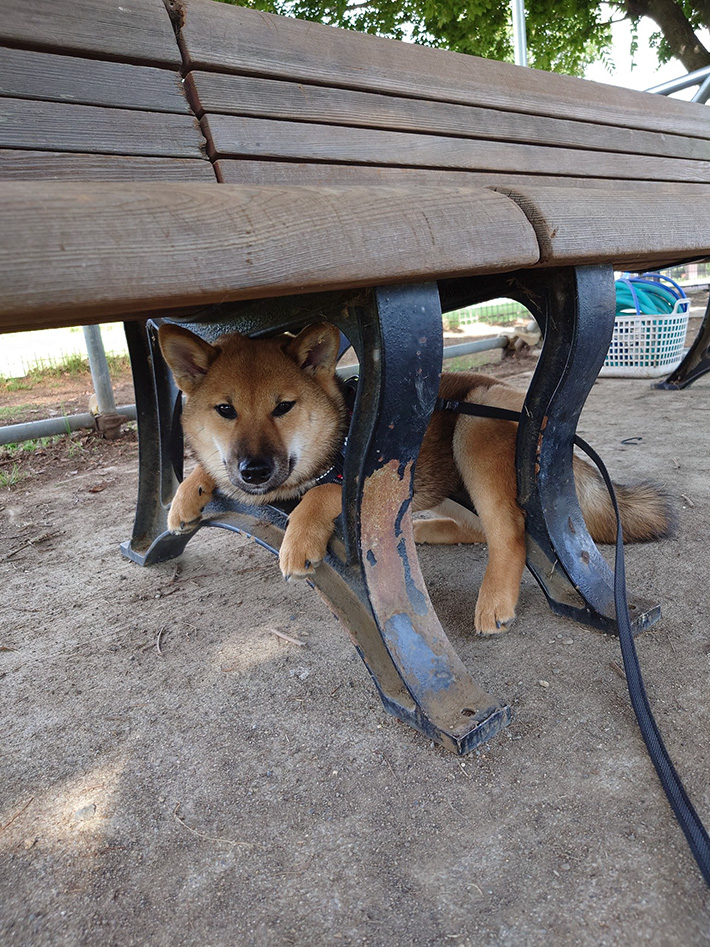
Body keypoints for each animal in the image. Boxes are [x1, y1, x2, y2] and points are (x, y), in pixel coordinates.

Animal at [159, 320, 676, 636]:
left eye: (283, 407)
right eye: (225, 410)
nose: (254, 470)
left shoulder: (358, 472)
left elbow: (322, 490)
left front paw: (299, 538)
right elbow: (209, 468)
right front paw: (185, 496)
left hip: (474, 424)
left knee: (508, 531)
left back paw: (494, 599)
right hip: (431, 479)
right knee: (473, 528)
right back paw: (421, 531)